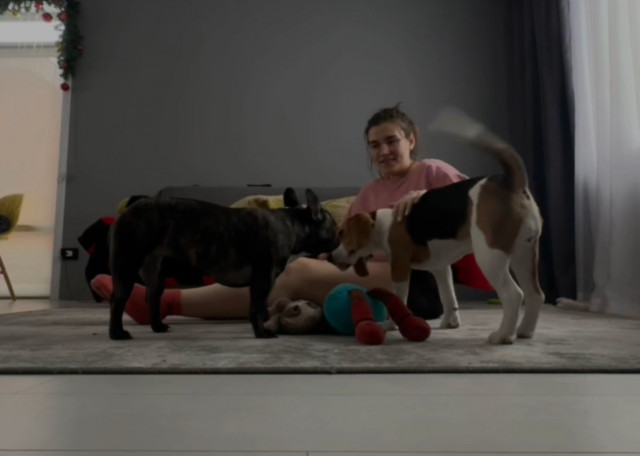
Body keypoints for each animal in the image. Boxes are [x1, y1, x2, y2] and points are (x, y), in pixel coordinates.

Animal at [108, 187, 339, 340]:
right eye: (335, 226)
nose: (339, 238)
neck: (293, 224)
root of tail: (135, 204)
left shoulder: (266, 282)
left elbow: (263, 305)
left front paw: (265, 325)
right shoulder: (263, 278)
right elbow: (256, 307)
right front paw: (262, 332)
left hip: (155, 270)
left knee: (153, 296)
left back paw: (158, 327)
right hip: (126, 263)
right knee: (117, 300)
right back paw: (117, 334)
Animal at [328, 108, 544, 344]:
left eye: (342, 233)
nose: (330, 256)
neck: (381, 224)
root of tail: (510, 182)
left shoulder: (399, 267)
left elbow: (398, 297)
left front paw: (390, 325)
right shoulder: (440, 268)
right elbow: (447, 295)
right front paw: (450, 322)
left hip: (490, 256)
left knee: (513, 294)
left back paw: (503, 335)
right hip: (525, 252)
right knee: (535, 294)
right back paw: (525, 331)